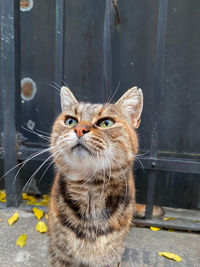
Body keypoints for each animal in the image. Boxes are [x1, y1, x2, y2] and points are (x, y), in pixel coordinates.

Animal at [48, 87, 162, 266]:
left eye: (106, 123)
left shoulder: (109, 257)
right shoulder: (60, 254)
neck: (90, 193)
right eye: (70, 121)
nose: (79, 129)